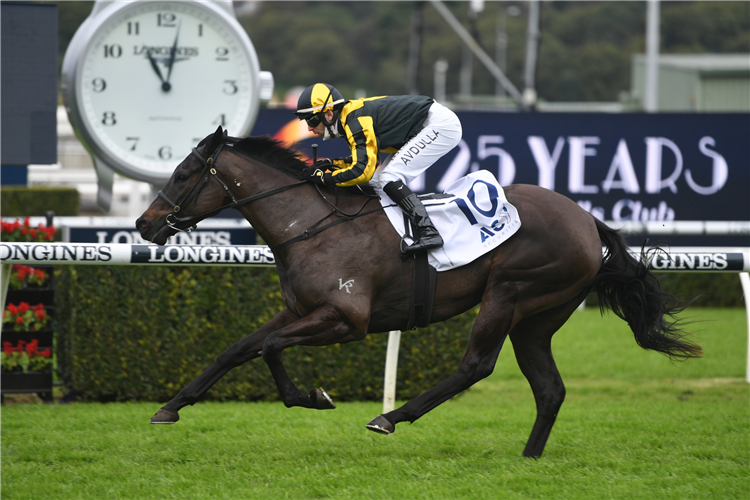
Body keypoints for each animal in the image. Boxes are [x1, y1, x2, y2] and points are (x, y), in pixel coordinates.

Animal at [134, 125, 700, 458]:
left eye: (182, 173)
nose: (144, 223)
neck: (311, 225)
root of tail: (587, 220)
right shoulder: (298, 310)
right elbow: (236, 349)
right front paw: (171, 407)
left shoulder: (346, 318)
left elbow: (270, 349)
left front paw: (311, 397)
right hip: (538, 319)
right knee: (550, 388)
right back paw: (529, 456)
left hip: (511, 292)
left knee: (476, 366)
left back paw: (390, 417)